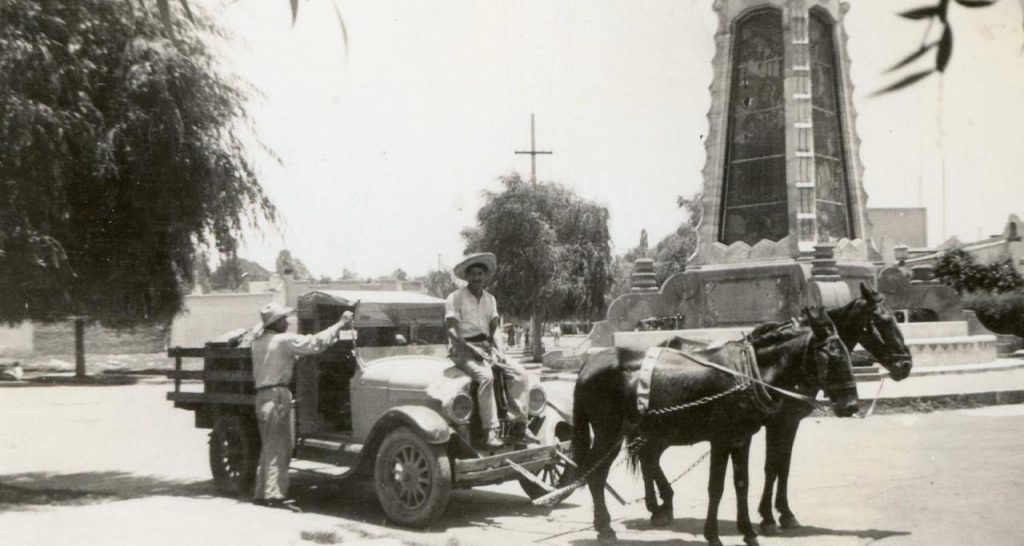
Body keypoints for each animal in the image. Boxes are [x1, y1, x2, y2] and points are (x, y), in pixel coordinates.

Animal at [573, 309, 860, 540]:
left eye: (848, 355)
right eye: (831, 358)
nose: (852, 406)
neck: (748, 373)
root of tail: (588, 363)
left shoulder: (742, 437)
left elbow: (743, 483)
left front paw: (749, 531)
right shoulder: (724, 437)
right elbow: (717, 486)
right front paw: (715, 534)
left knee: (640, 460)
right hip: (609, 432)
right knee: (596, 473)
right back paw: (606, 526)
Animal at [757, 280, 917, 532]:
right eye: (883, 320)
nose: (905, 365)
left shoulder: (791, 423)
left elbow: (784, 465)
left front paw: (785, 513)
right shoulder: (776, 423)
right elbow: (771, 466)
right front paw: (767, 516)